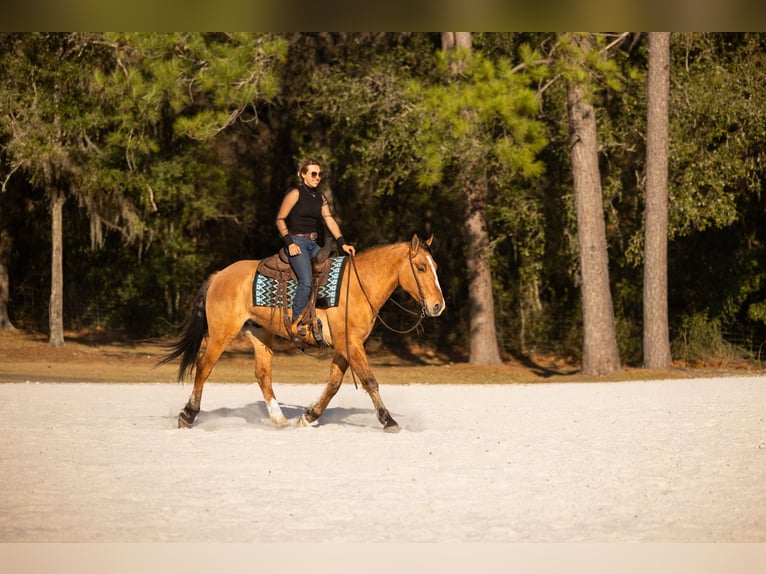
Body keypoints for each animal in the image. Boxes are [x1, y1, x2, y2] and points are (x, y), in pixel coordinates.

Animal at [159, 234, 446, 432]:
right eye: (421, 268)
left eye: (436, 267)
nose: (437, 305)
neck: (358, 285)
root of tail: (219, 275)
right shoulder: (350, 344)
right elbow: (369, 380)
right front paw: (389, 420)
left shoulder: (348, 345)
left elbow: (334, 384)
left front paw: (309, 416)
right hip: (222, 333)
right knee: (204, 366)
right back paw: (188, 415)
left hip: (260, 335)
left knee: (263, 375)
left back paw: (279, 419)